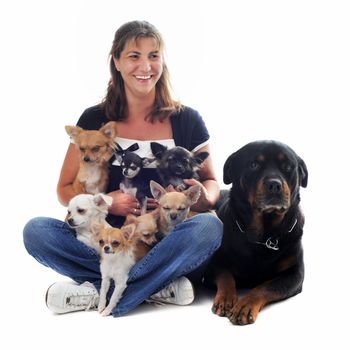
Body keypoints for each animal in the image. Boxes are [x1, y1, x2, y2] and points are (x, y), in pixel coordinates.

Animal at [206, 139, 308, 326]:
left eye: (288, 167)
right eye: (254, 165)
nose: (274, 185)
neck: (263, 235)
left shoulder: (294, 273)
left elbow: (265, 286)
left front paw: (245, 305)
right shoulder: (213, 265)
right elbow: (225, 276)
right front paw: (226, 299)